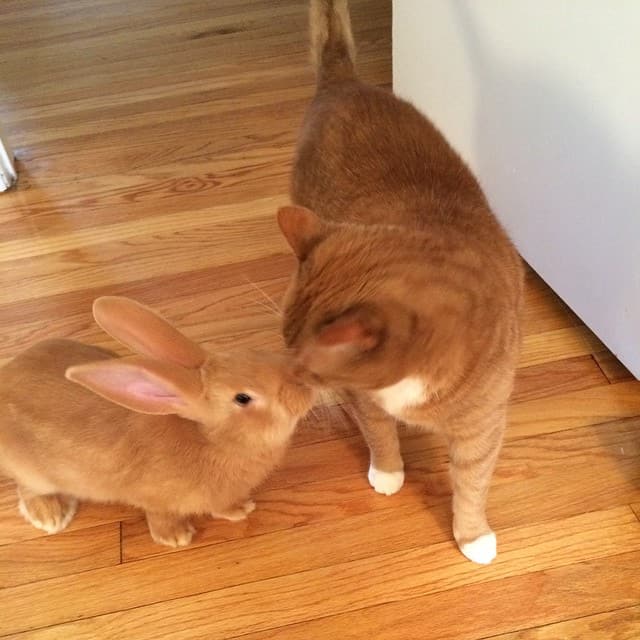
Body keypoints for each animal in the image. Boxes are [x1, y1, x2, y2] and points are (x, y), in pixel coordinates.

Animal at [0, 298, 314, 548]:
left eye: (251, 353)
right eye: (243, 398)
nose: (306, 389)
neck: (213, 440)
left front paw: (241, 507)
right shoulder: (157, 499)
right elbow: (163, 516)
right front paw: (177, 537)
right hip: (35, 473)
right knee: (28, 487)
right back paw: (51, 515)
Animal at [276, 0, 524, 564]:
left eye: (311, 364)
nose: (288, 378)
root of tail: (345, 83)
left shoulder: (483, 426)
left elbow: (472, 483)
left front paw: (473, 536)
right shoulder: (364, 401)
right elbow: (381, 435)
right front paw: (388, 474)